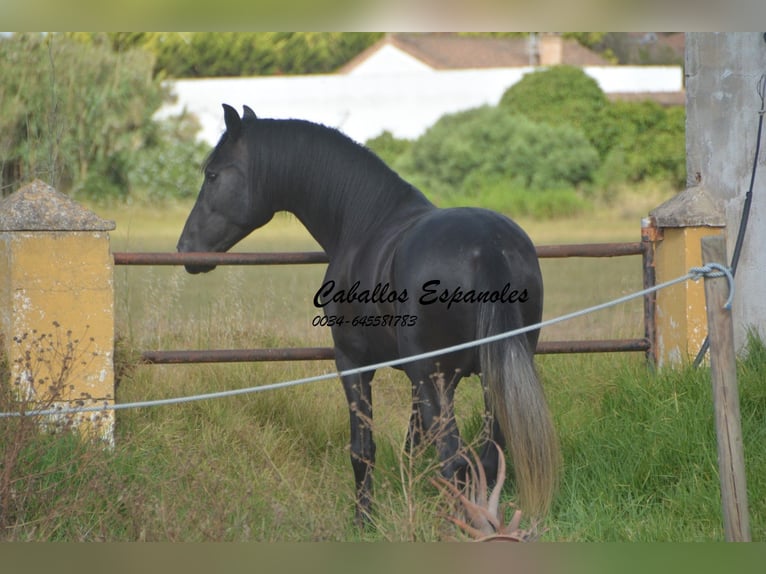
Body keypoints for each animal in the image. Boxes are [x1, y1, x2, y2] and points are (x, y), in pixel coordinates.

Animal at [180, 103, 564, 528]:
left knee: (454, 458)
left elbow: (363, 448)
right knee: (487, 456)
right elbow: (413, 446)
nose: (185, 249)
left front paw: (364, 519)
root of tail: (488, 248)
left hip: (437, 377)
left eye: (213, 174)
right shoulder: (420, 381)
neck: (364, 221)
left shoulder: (354, 363)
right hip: (491, 376)